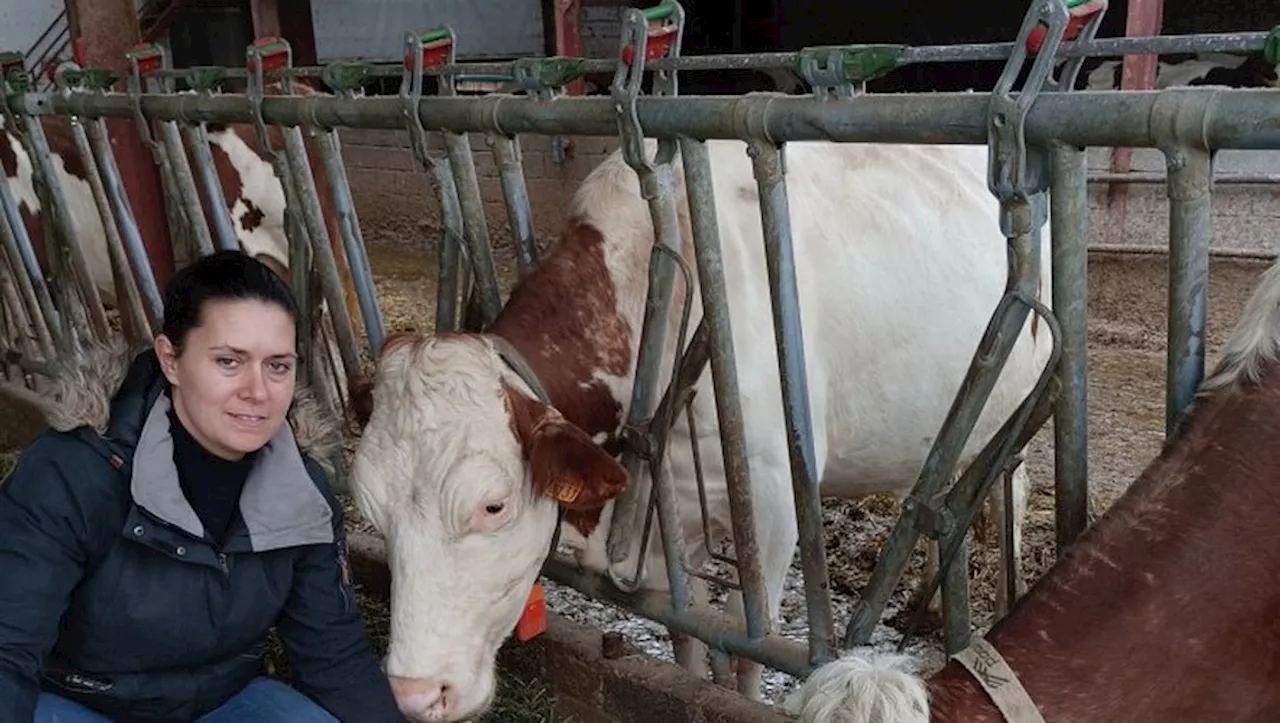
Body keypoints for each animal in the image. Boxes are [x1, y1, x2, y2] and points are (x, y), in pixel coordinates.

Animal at [345, 136, 1054, 721]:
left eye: (493, 505)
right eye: (371, 509)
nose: (414, 694)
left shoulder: (771, 503)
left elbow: (745, 644)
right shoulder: (664, 516)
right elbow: (683, 629)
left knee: (1006, 491)